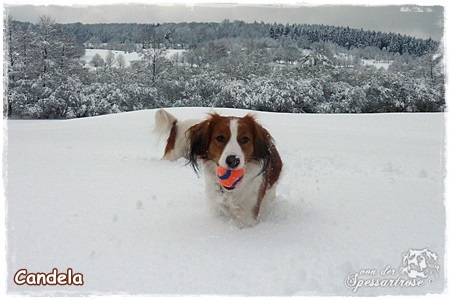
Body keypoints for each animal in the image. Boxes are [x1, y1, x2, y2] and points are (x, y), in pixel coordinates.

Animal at [154, 109, 282, 226]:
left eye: (245, 139)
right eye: (220, 138)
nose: (233, 160)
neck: (228, 191)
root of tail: (178, 123)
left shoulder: (249, 214)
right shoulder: (216, 208)